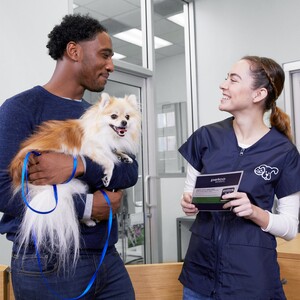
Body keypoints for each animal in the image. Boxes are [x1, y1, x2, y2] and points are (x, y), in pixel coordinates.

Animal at [8, 92, 141, 268]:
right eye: (114, 116)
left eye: (127, 116)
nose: (124, 123)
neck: (105, 132)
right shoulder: (93, 149)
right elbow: (110, 162)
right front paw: (107, 176)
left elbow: (115, 151)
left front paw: (125, 157)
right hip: (76, 185)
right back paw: (89, 220)